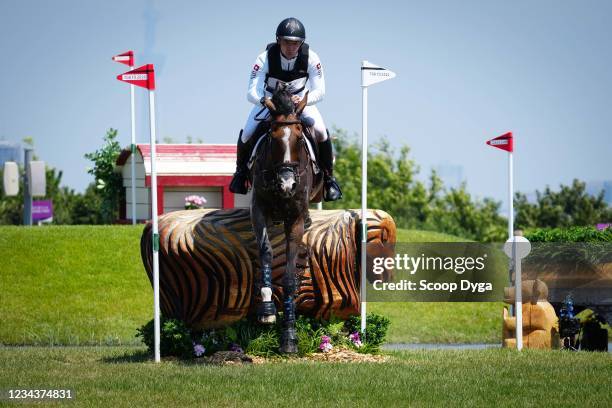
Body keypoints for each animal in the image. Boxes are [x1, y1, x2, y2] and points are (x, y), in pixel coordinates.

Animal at [250, 87, 320, 354]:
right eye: (272, 137)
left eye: (300, 139)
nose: (287, 184)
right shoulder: (258, 210)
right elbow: (266, 251)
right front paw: (267, 308)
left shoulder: (295, 219)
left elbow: (290, 276)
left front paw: (289, 335)